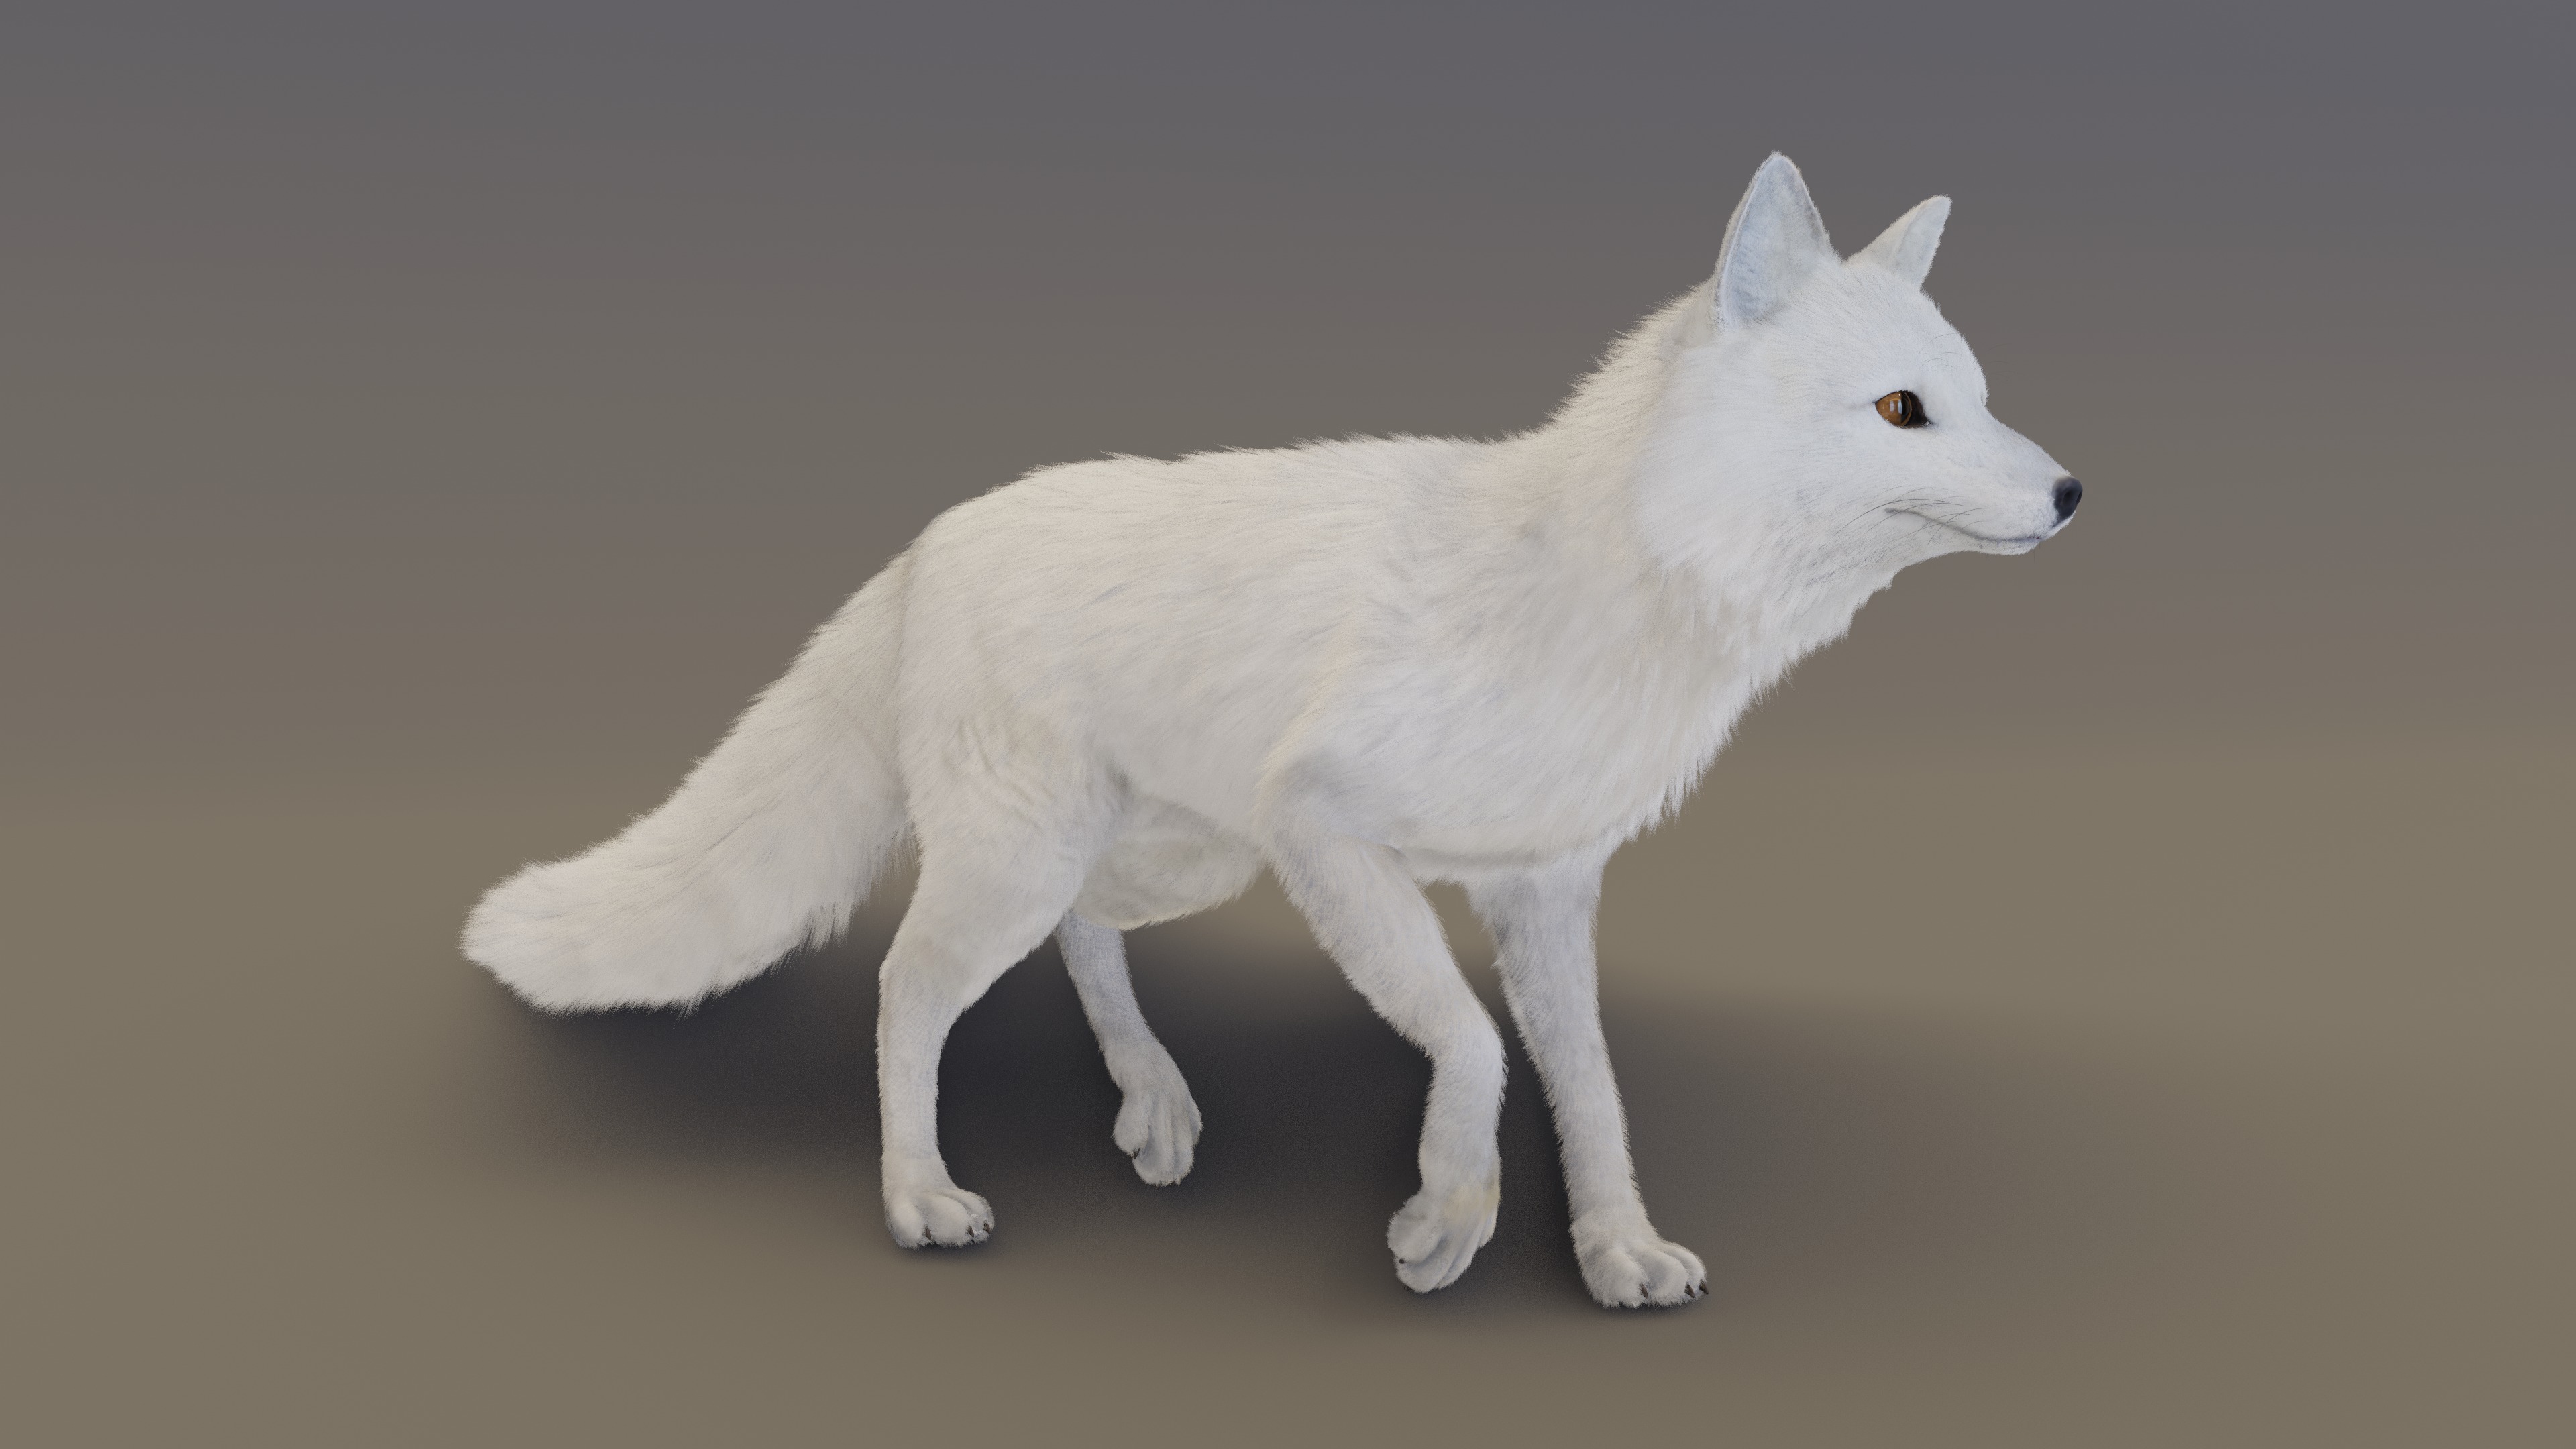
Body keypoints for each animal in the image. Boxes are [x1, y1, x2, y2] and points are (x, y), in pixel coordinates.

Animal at [465, 154, 2081, 1308]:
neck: (1604, 592)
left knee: (1085, 939)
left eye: (1979, 397)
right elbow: (1474, 1046)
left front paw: (1616, 1251)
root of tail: (929, 540)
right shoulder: (1330, 823)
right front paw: (1446, 1216)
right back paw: (920, 1197)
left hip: (1180, 860)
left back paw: (1153, 1099)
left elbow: (1590, 1089)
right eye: (1903, 409)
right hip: (1046, 863)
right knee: (906, 994)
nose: (2075, 494)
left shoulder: (1544, 886)